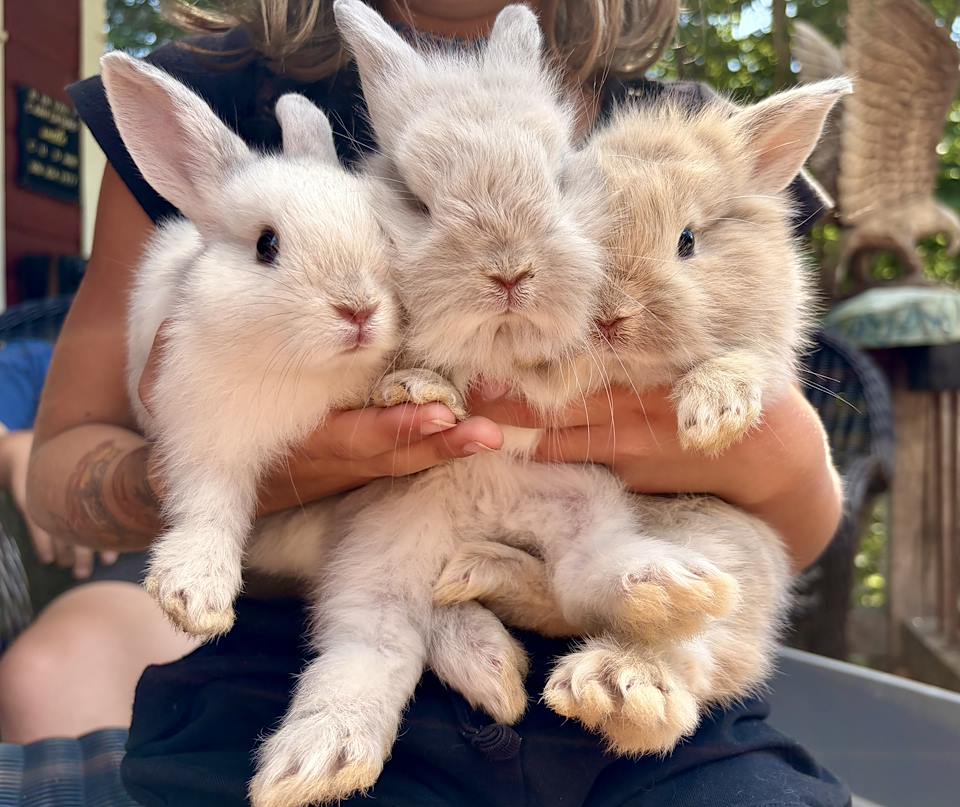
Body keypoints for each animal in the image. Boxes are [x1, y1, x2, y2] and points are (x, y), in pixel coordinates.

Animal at [101, 51, 401, 639]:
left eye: (382, 232)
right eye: (267, 245)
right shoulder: (203, 432)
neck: (310, 374)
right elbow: (210, 501)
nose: (358, 309)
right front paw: (194, 595)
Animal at [433, 78, 853, 755]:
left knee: (679, 640)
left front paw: (712, 415)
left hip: (723, 548)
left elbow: (745, 361)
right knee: (565, 598)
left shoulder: (768, 352)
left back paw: (618, 686)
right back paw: (482, 577)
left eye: (688, 240)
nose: (612, 318)